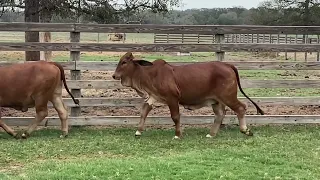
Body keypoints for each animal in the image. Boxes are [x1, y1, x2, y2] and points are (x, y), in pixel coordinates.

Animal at [111, 52, 264, 139]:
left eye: (124, 62)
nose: (114, 75)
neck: (150, 74)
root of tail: (228, 65)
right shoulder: (153, 97)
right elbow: (144, 112)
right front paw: (138, 131)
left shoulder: (172, 98)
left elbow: (175, 116)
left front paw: (178, 135)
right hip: (216, 100)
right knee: (220, 114)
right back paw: (211, 134)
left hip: (228, 96)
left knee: (241, 108)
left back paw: (245, 130)